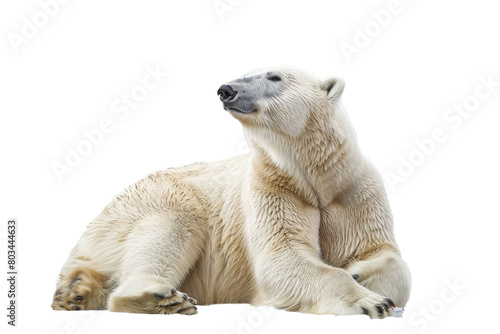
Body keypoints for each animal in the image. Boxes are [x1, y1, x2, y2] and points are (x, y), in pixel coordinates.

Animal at [51, 66, 410, 318]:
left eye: (274, 76)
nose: (227, 89)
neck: (314, 176)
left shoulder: (353, 190)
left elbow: (380, 250)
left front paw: (358, 272)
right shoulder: (270, 188)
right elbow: (281, 259)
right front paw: (370, 301)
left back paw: (76, 293)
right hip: (152, 201)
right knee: (171, 229)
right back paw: (159, 298)